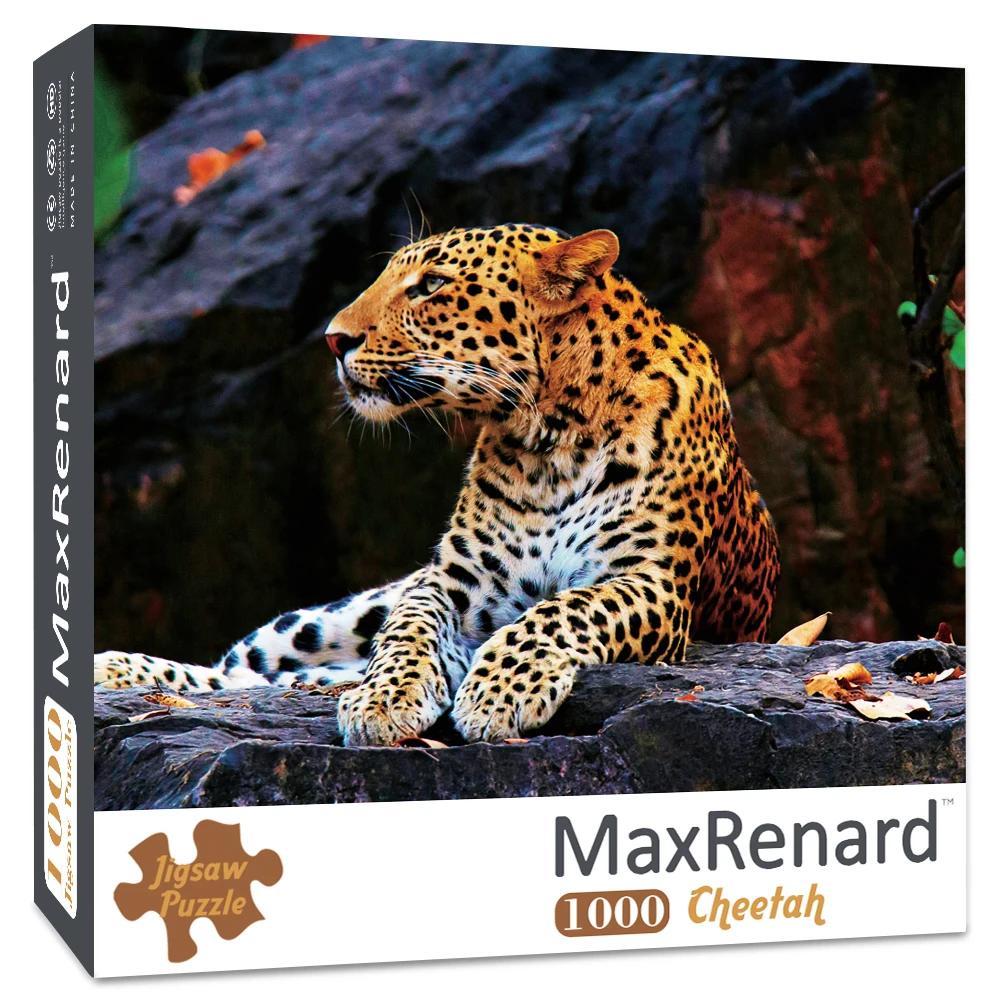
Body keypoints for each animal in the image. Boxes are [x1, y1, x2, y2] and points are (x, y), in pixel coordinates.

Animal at [95, 223, 780, 746]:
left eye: (432, 285)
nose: (333, 339)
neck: (551, 440)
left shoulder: (651, 582)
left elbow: (563, 610)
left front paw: (499, 693)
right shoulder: (451, 582)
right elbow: (408, 629)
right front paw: (384, 699)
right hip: (324, 619)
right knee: (243, 670)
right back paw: (122, 668)